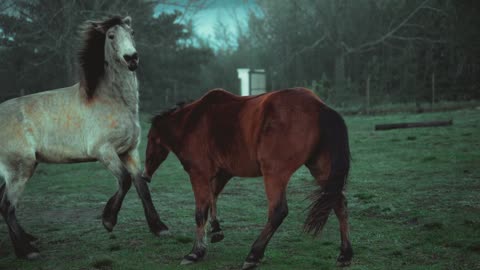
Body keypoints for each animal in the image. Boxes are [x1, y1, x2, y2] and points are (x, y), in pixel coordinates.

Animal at [144, 88, 350, 268]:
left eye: (149, 139)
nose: (145, 175)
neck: (190, 121)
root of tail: (319, 106)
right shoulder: (223, 173)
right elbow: (213, 198)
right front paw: (216, 229)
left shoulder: (199, 174)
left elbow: (201, 212)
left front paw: (196, 252)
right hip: (321, 170)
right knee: (338, 203)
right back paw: (345, 254)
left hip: (274, 174)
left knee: (278, 211)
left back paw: (254, 255)